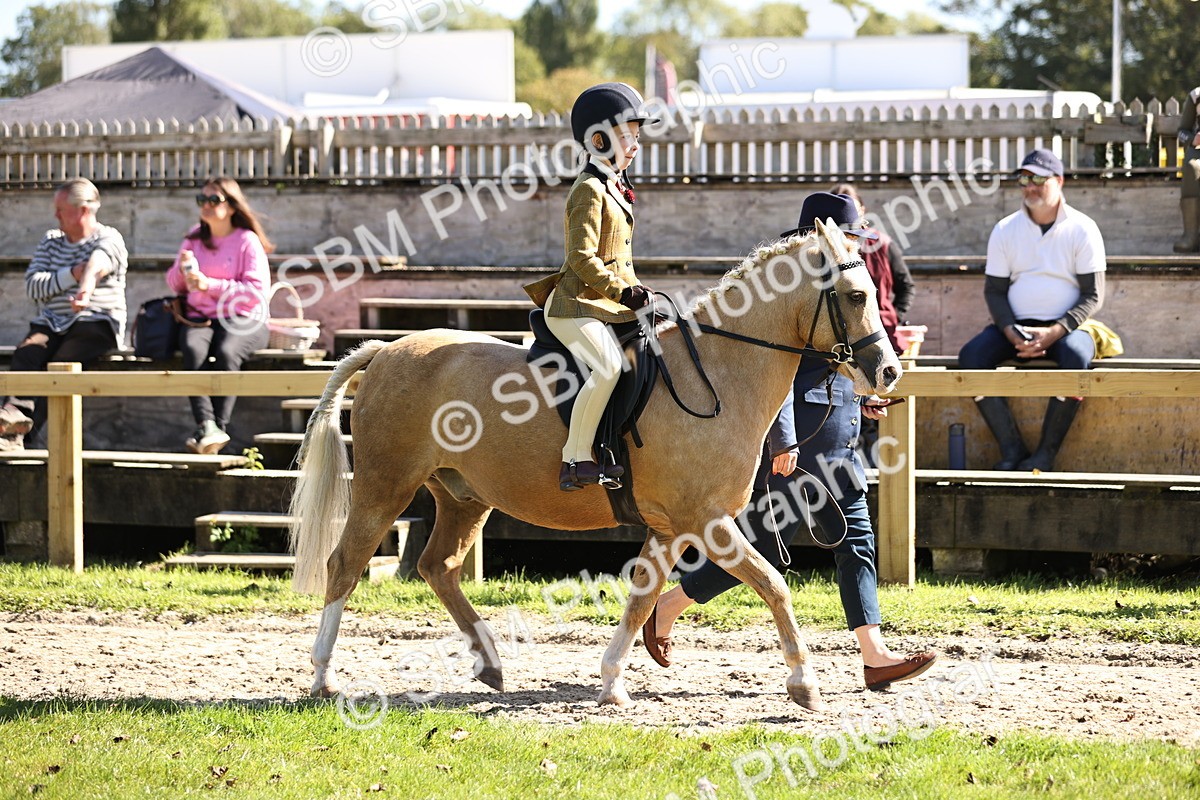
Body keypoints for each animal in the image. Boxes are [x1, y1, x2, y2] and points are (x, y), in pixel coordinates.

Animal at [288, 220, 903, 711]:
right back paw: (322, 678)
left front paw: (611, 684)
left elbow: (642, 598)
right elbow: (774, 585)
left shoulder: (670, 527)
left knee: (439, 566)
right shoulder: (705, 521)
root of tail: (385, 350)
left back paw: (490, 665)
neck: (718, 374)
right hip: (384, 487)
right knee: (345, 565)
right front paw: (805, 685)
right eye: (854, 295)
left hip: (463, 496)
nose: (889, 372)